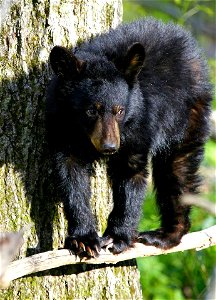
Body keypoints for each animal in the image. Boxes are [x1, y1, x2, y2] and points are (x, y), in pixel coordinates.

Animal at [44, 17, 212, 256]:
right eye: (91, 110)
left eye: (120, 110)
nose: (110, 147)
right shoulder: (60, 125)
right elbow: (70, 174)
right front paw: (84, 238)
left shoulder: (139, 125)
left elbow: (131, 173)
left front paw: (118, 236)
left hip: (187, 115)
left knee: (178, 169)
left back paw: (165, 234)